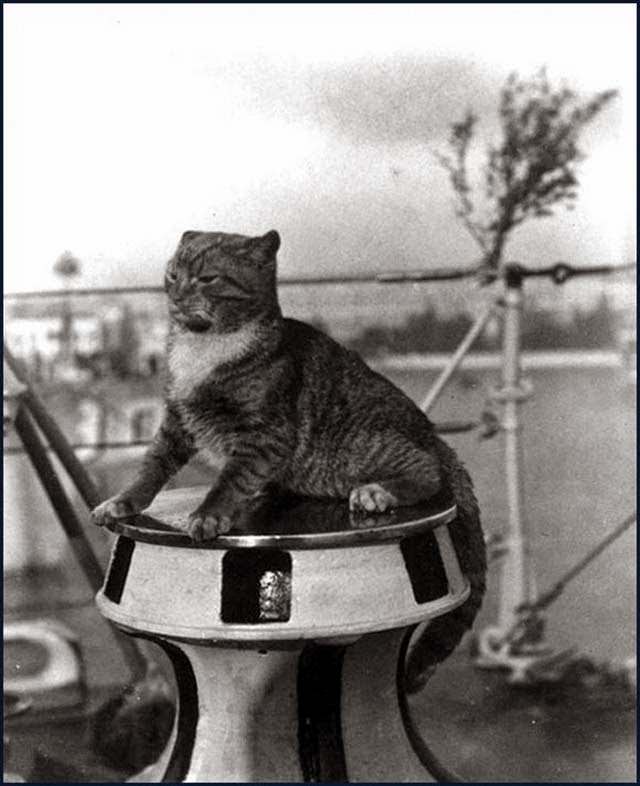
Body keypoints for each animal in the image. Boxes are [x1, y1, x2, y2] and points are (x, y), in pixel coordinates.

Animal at [92, 228, 484, 672]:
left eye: (207, 279)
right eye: (172, 275)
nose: (175, 296)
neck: (204, 348)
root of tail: (432, 432)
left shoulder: (264, 435)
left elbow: (228, 480)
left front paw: (209, 514)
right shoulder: (177, 422)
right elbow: (151, 468)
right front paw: (123, 502)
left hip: (363, 444)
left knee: (428, 469)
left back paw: (377, 492)